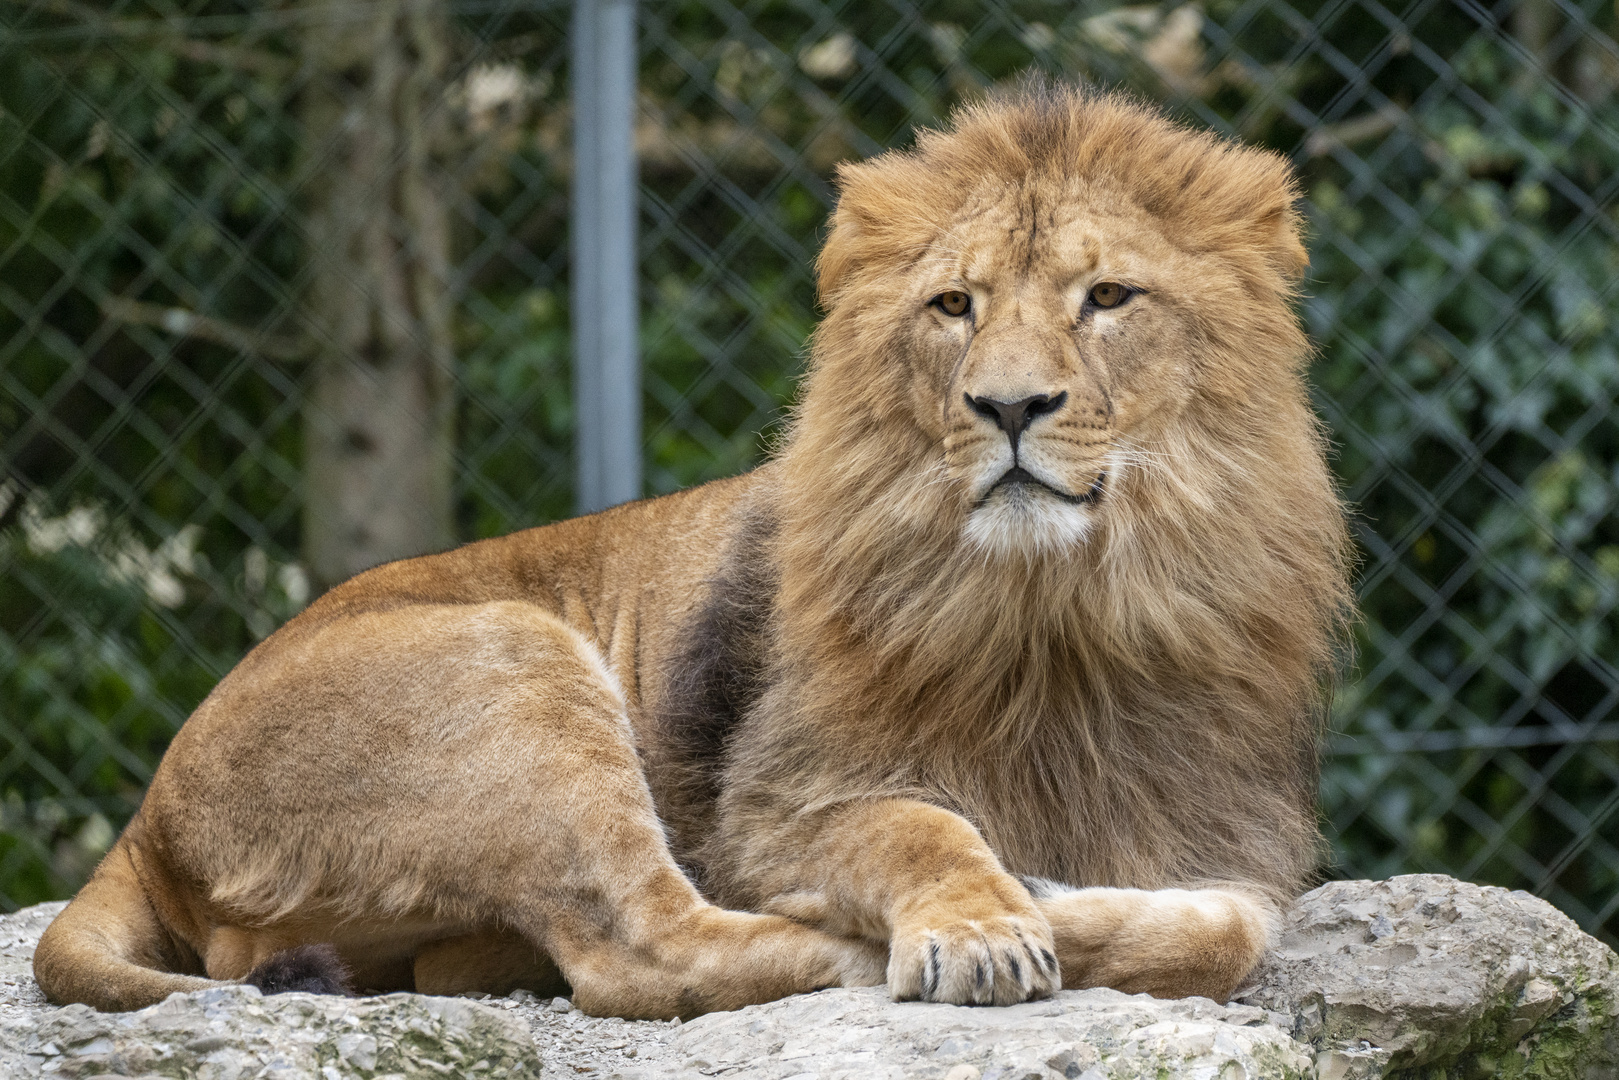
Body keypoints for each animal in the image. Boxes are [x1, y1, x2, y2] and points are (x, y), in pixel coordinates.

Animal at [34, 86, 1353, 1023]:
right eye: (954, 307)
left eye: (1108, 298)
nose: (1009, 406)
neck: (1054, 611)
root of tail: (148, 815)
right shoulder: (770, 806)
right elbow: (915, 827)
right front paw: (985, 920)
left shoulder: (1225, 838)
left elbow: (1230, 930)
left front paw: (1045, 896)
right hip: (512, 663)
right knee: (645, 950)